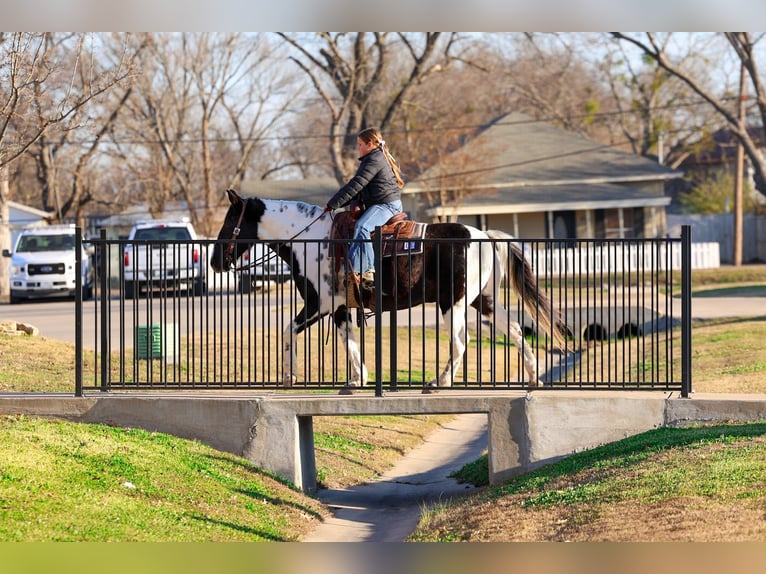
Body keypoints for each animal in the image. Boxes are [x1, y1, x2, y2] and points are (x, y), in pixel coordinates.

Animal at [210, 189, 567, 394]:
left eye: (229, 221)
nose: (214, 261)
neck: (310, 240)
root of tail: (482, 236)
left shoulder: (317, 304)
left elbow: (287, 330)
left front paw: (288, 376)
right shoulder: (339, 308)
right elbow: (349, 341)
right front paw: (357, 378)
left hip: (453, 303)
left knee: (460, 341)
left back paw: (440, 381)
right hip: (484, 300)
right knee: (516, 329)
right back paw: (533, 377)